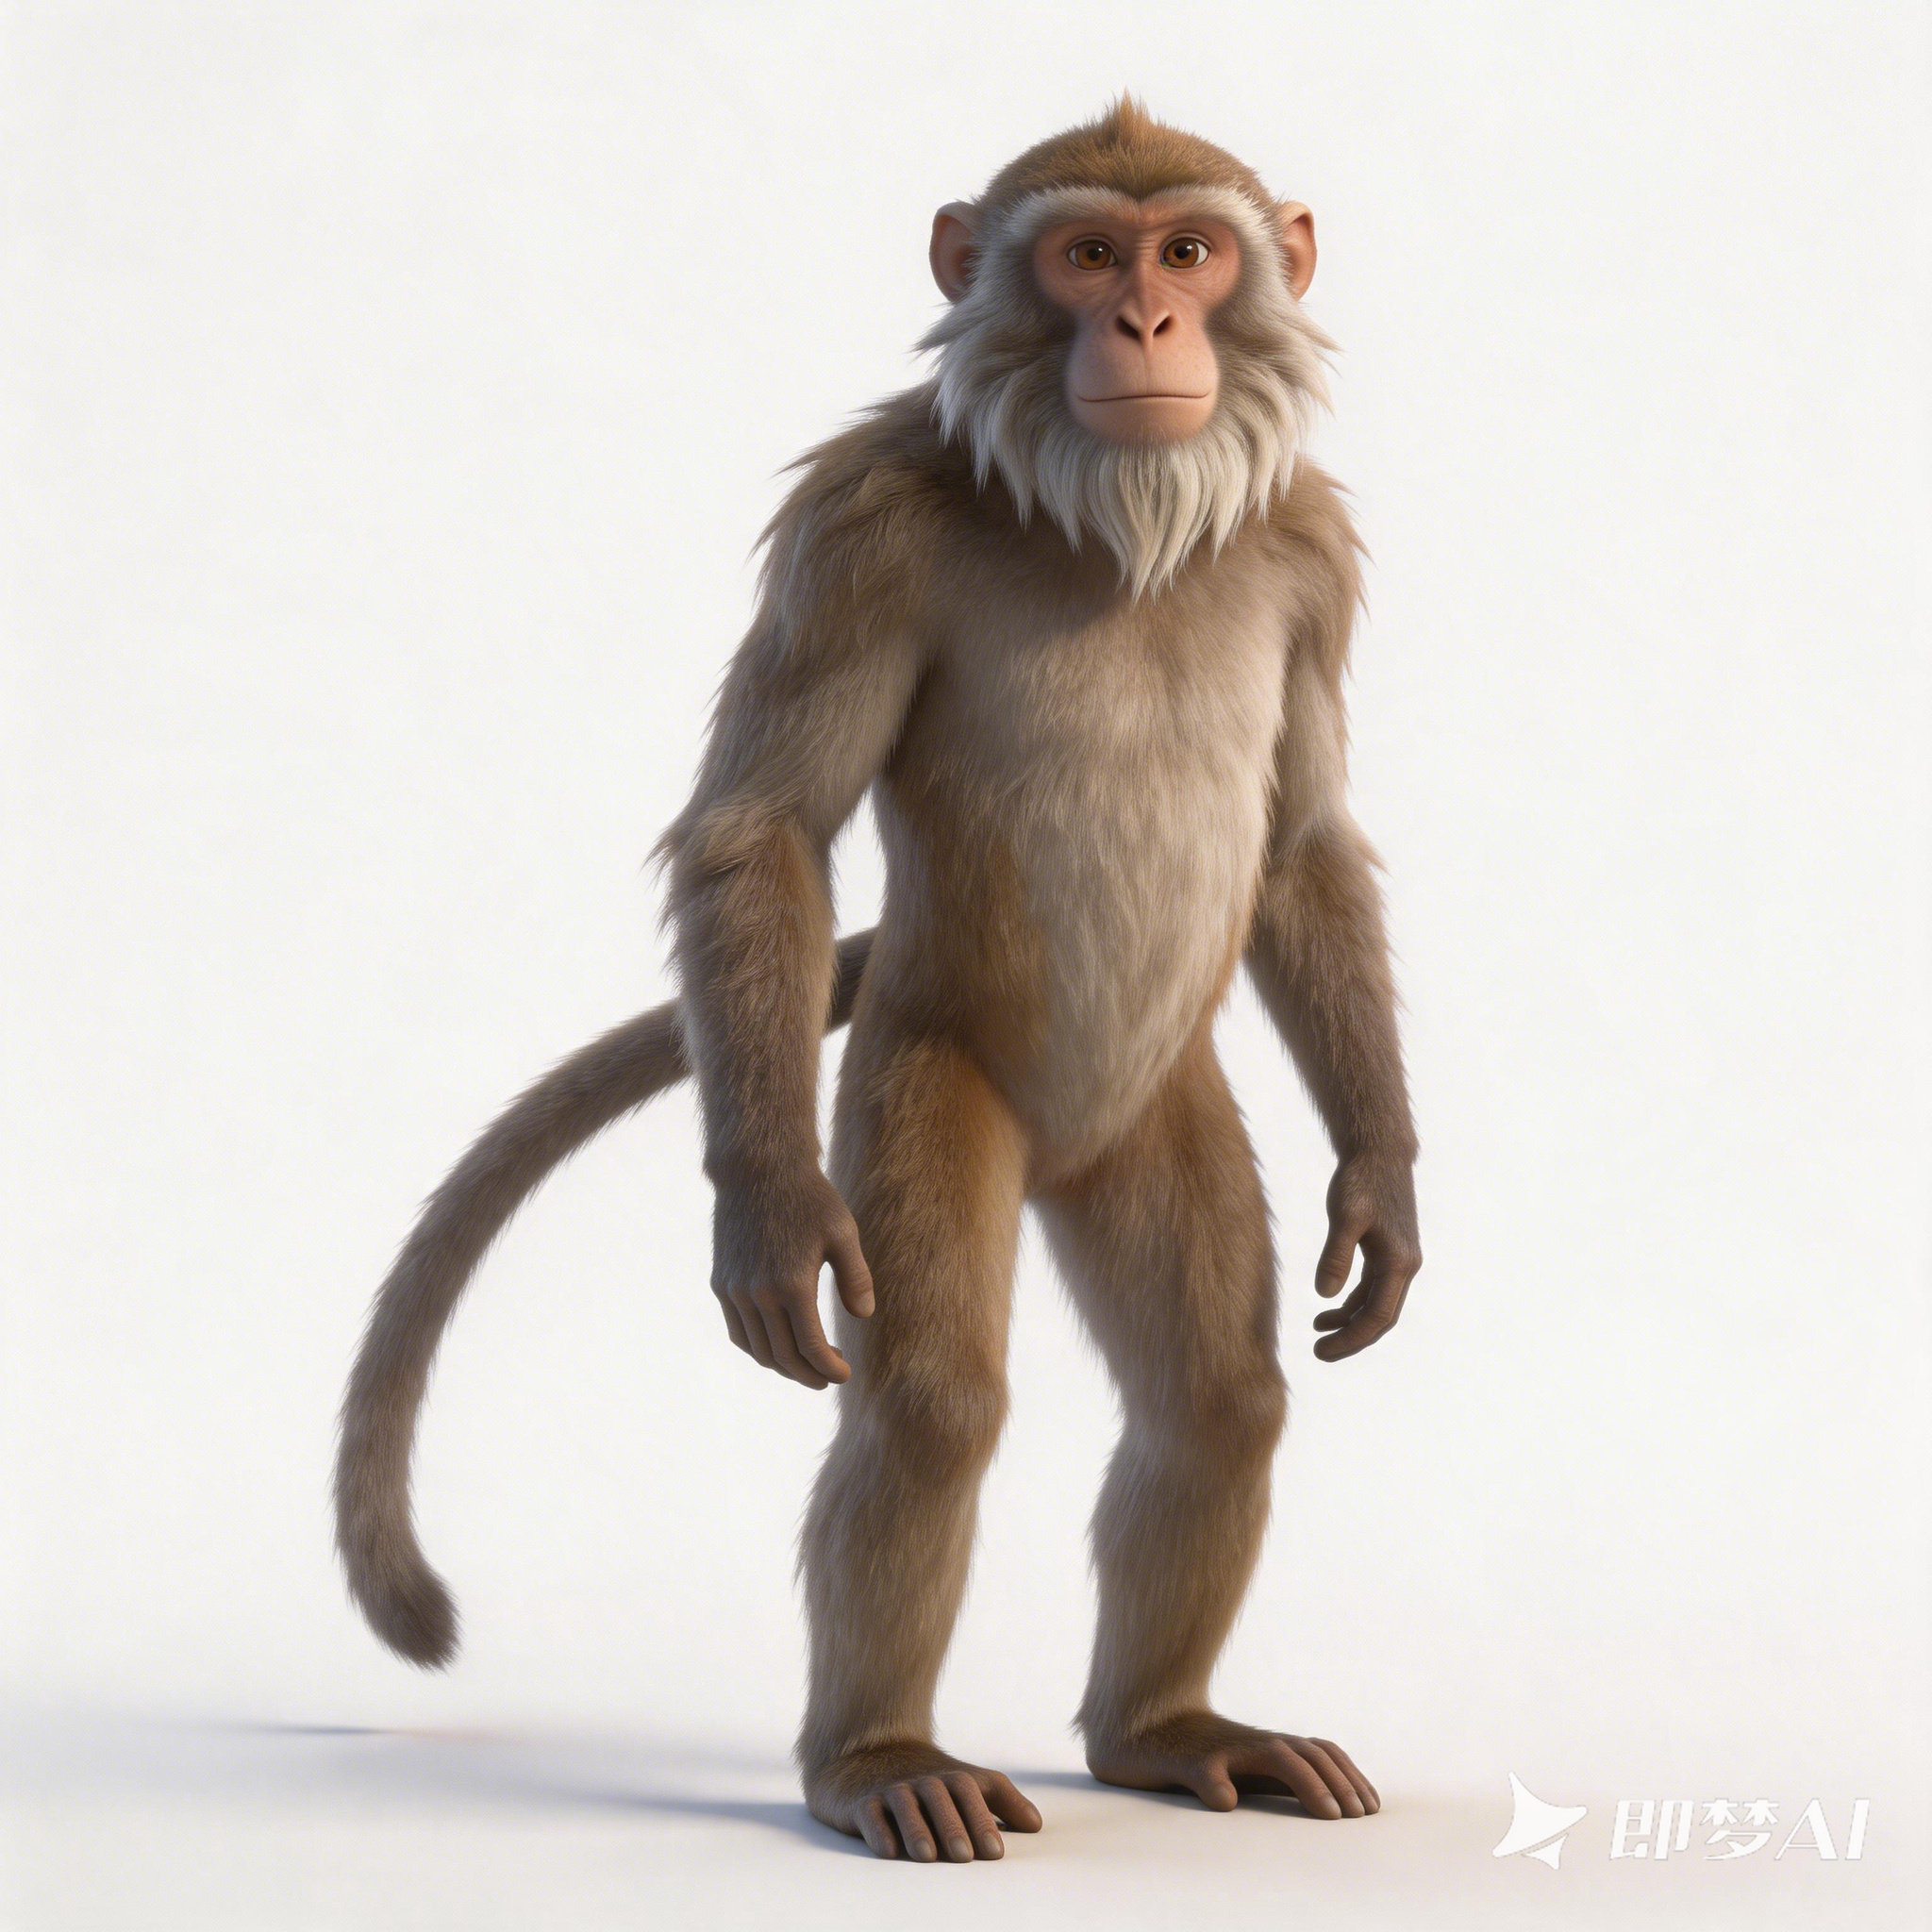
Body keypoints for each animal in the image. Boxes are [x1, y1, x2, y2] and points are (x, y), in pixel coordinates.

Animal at [336, 98, 1421, 1864]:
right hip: (920, 1053)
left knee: (1213, 1400)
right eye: (1085, 253)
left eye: (1189, 249)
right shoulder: (859, 523)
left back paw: (1157, 1730)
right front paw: (767, 1212)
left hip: (1152, 1107)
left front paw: (1382, 1181)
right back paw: (877, 1758)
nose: (1146, 326)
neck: (1113, 515)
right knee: (931, 1400)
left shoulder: (1310, 542)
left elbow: (1304, 849)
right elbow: (762, 833)